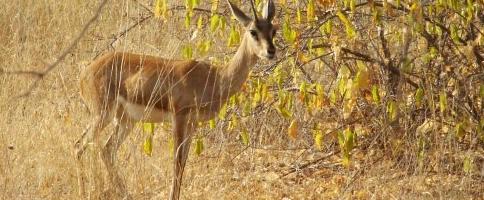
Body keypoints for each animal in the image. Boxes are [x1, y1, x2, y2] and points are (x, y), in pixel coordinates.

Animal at [75, 0, 278, 198]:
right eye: (253, 31)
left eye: (273, 30)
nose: (271, 51)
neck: (215, 77)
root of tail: (86, 72)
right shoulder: (179, 117)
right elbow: (177, 163)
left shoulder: (193, 123)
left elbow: (183, 163)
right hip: (103, 115)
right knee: (79, 145)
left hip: (126, 121)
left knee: (107, 150)